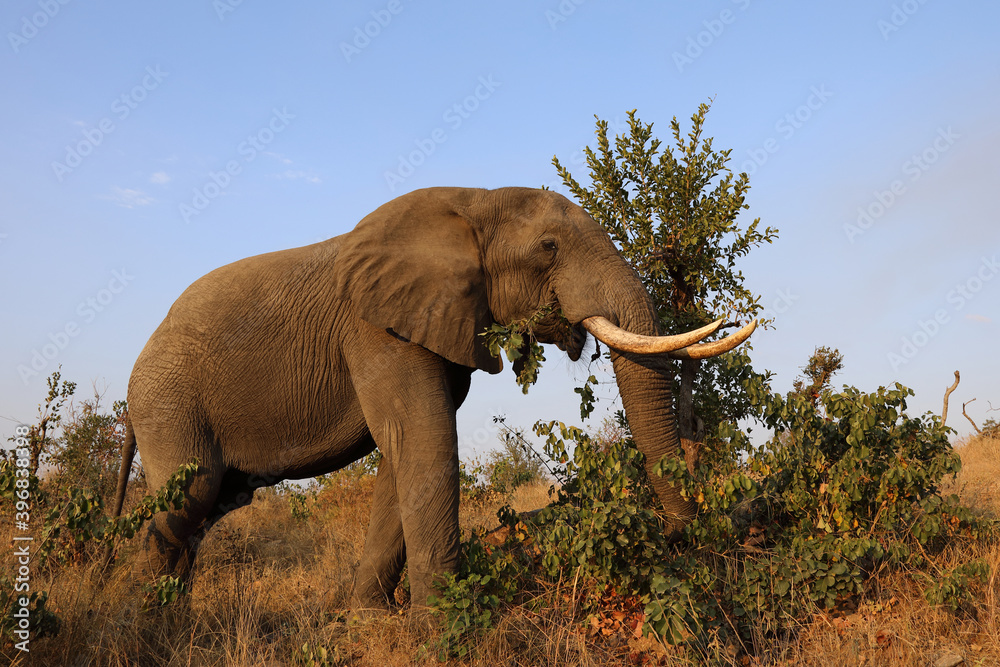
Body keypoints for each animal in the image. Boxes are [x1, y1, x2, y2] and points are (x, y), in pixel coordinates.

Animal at [110, 186, 754, 611]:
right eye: (548, 247)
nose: (677, 542)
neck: (473, 200)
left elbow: (402, 458)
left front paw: (372, 618)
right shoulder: (375, 329)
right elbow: (425, 440)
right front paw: (442, 624)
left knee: (209, 508)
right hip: (169, 402)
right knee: (190, 497)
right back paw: (142, 620)